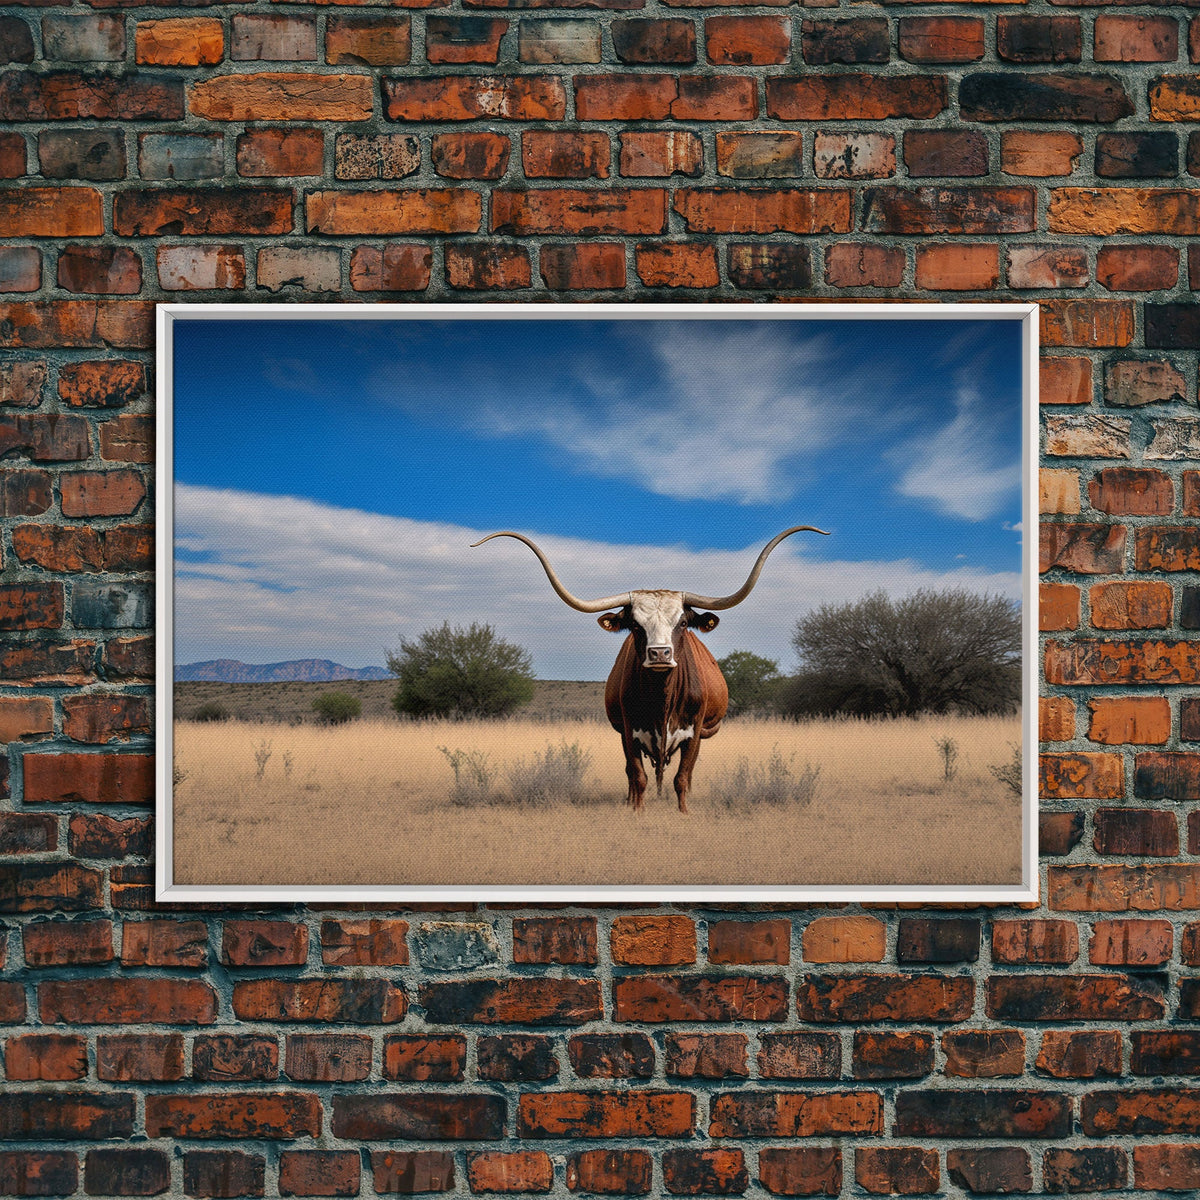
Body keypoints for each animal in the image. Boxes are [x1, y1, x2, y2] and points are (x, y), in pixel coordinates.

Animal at [472, 527, 829, 813]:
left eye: (682, 623)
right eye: (634, 625)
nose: (659, 653)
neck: (662, 699)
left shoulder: (693, 733)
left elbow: (682, 778)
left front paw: (684, 812)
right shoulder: (630, 731)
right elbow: (638, 776)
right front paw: (637, 811)